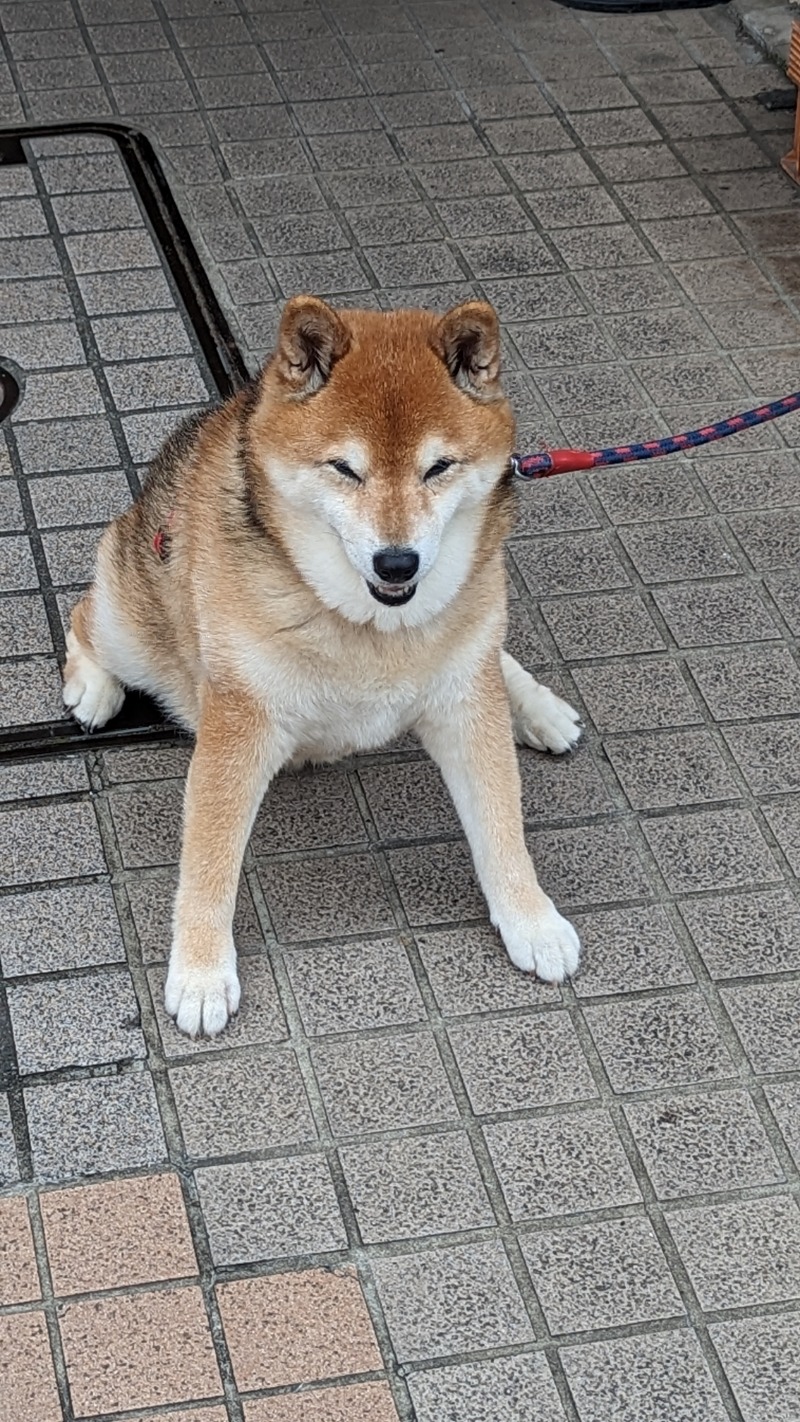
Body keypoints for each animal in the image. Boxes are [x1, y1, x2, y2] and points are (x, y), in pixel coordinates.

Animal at [64, 300, 582, 1035]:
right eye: (344, 468)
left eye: (439, 467)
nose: (397, 563)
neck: (369, 628)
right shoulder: (240, 721)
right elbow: (208, 863)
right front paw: (200, 974)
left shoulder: (464, 703)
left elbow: (501, 823)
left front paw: (531, 921)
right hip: (134, 625)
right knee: (88, 613)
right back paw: (93, 687)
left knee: (492, 646)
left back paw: (538, 707)